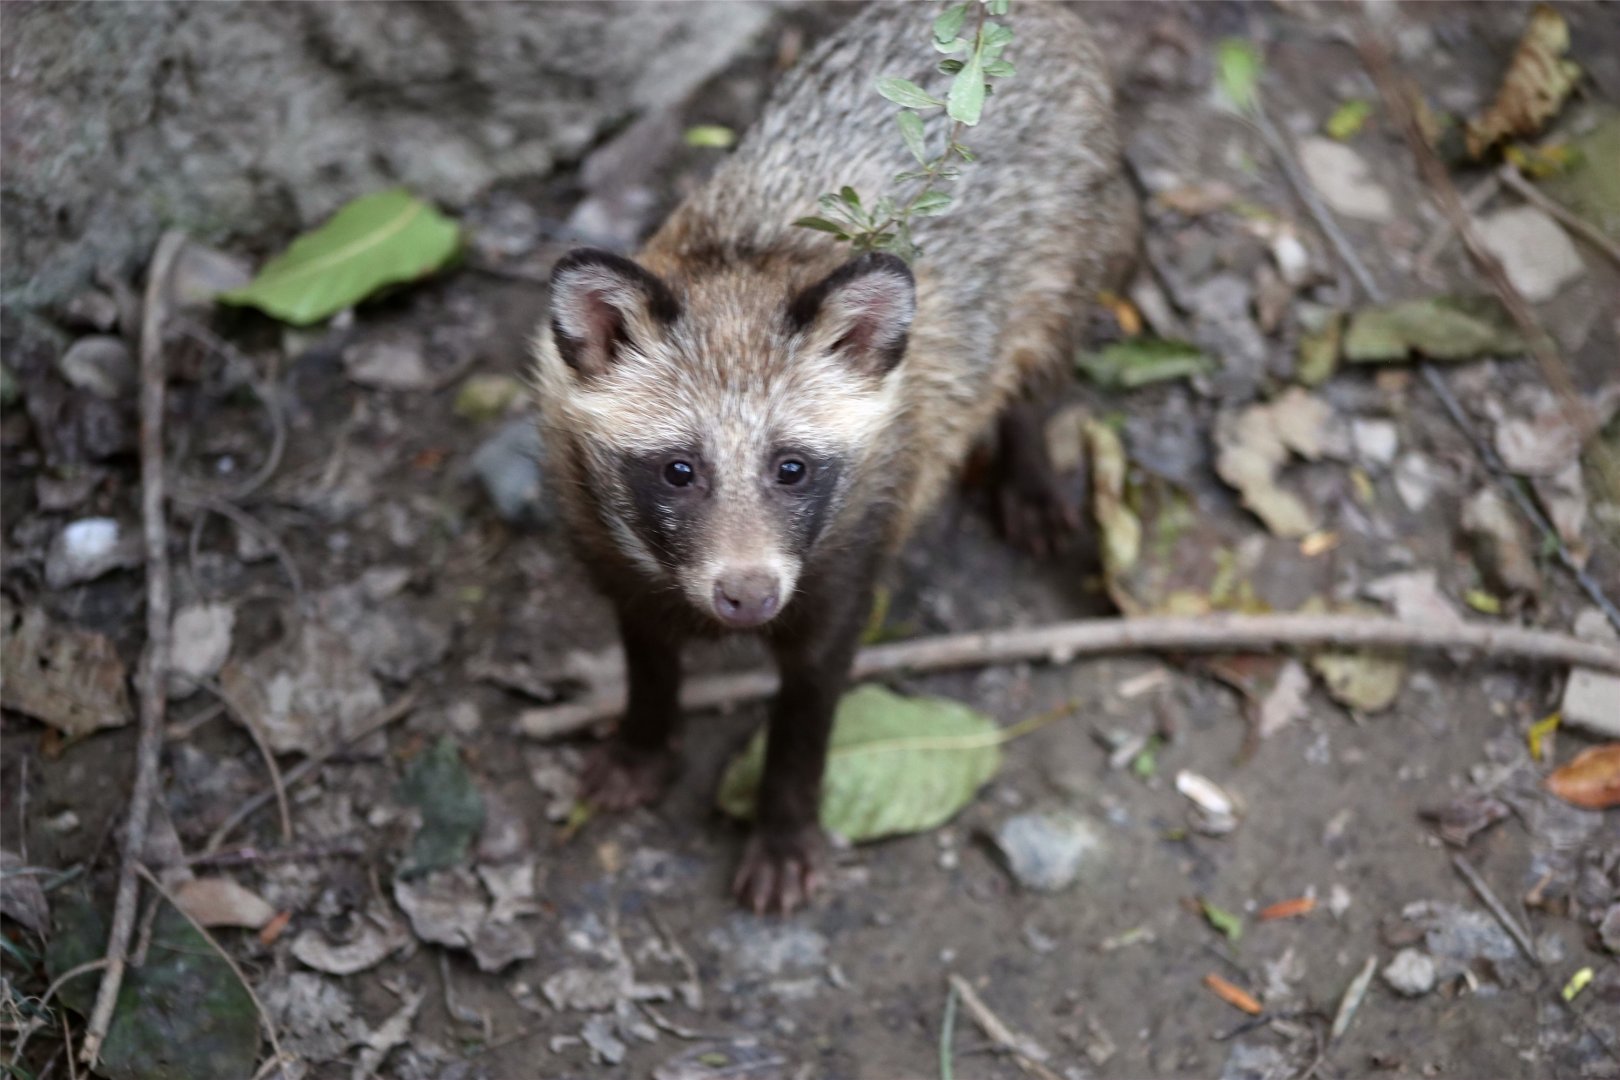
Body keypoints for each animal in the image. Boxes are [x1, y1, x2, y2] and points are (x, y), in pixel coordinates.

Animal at [533, 1, 1134, 913]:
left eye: (792, 467)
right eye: (679, 469)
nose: (746, 595)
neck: (741, 267)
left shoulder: (851, 555)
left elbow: (807, 714)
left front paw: (785, 828)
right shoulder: (608, 548)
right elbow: (646, 656)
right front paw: (642, 740)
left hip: (1065, 259)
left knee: (1035, 372)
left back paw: (1029, 467)